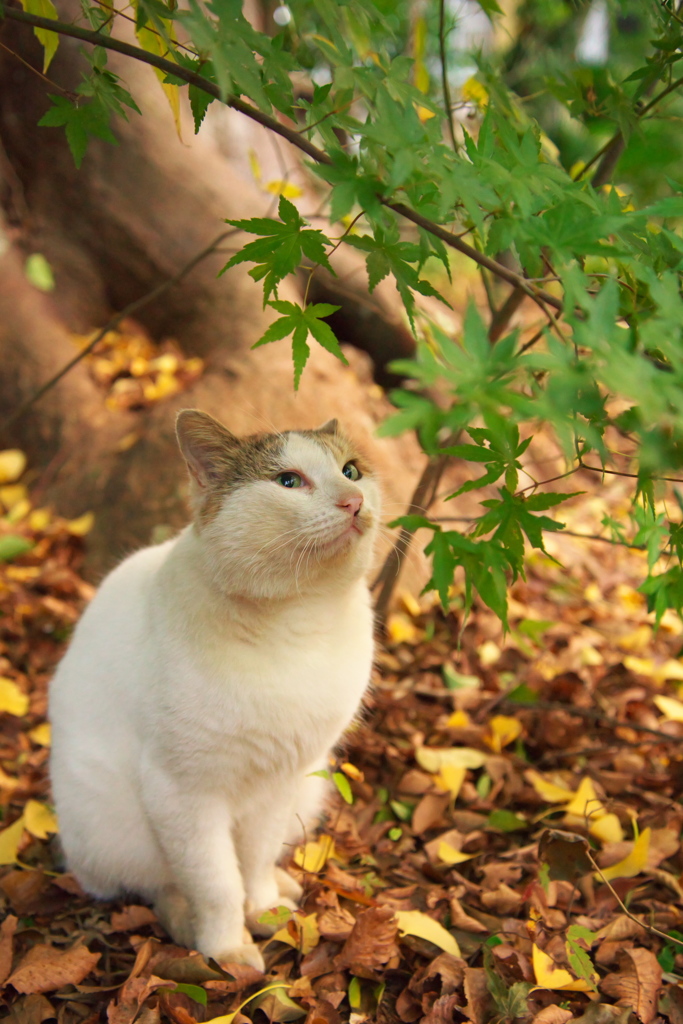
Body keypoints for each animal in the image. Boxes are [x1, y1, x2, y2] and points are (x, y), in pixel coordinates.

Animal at [48, 407, 378, 966]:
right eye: (288, 482)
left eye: (351, 471)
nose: (353, 500)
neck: (300, 622)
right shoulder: (183, 794)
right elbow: (217, 884)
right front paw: (228, 950)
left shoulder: (282, 780)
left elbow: (256, 862)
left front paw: (264, 910)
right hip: (113, 826)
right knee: (158, 887)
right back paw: (188, 928)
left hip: (308, 791)